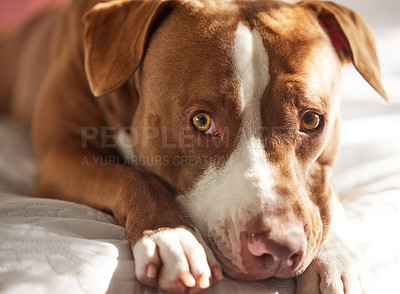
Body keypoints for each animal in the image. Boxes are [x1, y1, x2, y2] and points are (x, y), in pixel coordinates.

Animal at [0, 0, 388, 292]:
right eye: (202, 121)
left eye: (311, 121)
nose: (278, 247)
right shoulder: (61, 156)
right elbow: (134, 178)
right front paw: (172, 237)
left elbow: (324, 198)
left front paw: (335, 258)